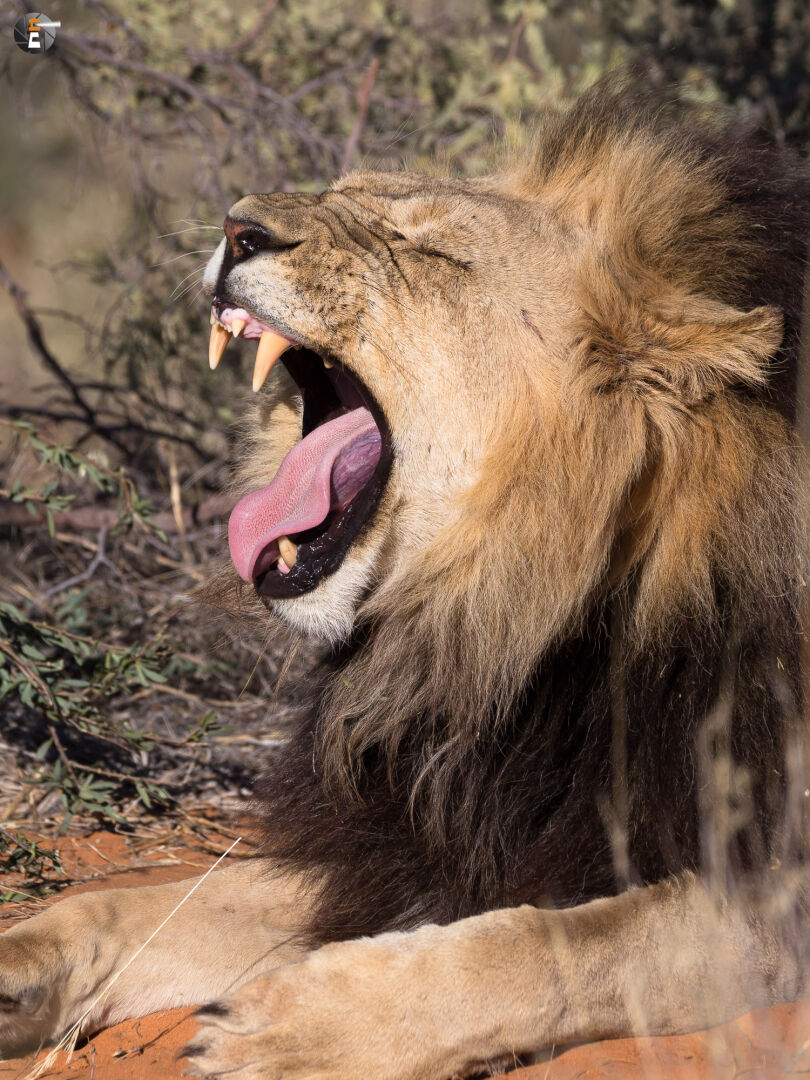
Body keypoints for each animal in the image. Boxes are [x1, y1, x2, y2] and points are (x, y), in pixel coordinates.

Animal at [2, 85, 810, 1079]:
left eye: (430, 252)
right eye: (343, 193)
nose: (237, 227)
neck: (518, 635)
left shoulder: (767, 886)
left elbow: (557, 943)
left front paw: (301, 1027)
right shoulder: (401, 842)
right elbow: (148, 904)